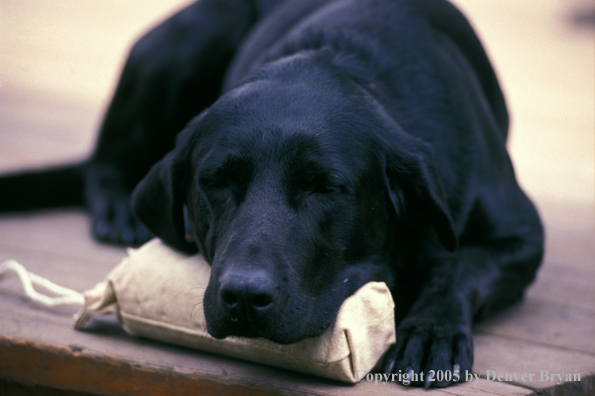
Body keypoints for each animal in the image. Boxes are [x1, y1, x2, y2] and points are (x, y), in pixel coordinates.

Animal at [0, 0, 544, 386]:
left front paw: (432, 331)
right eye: (217, 182)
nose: (244, 296)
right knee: (104, 159)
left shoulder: (523, 234)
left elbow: (461, 265)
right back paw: (116, 206)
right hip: (195, 33)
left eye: (325, 187)